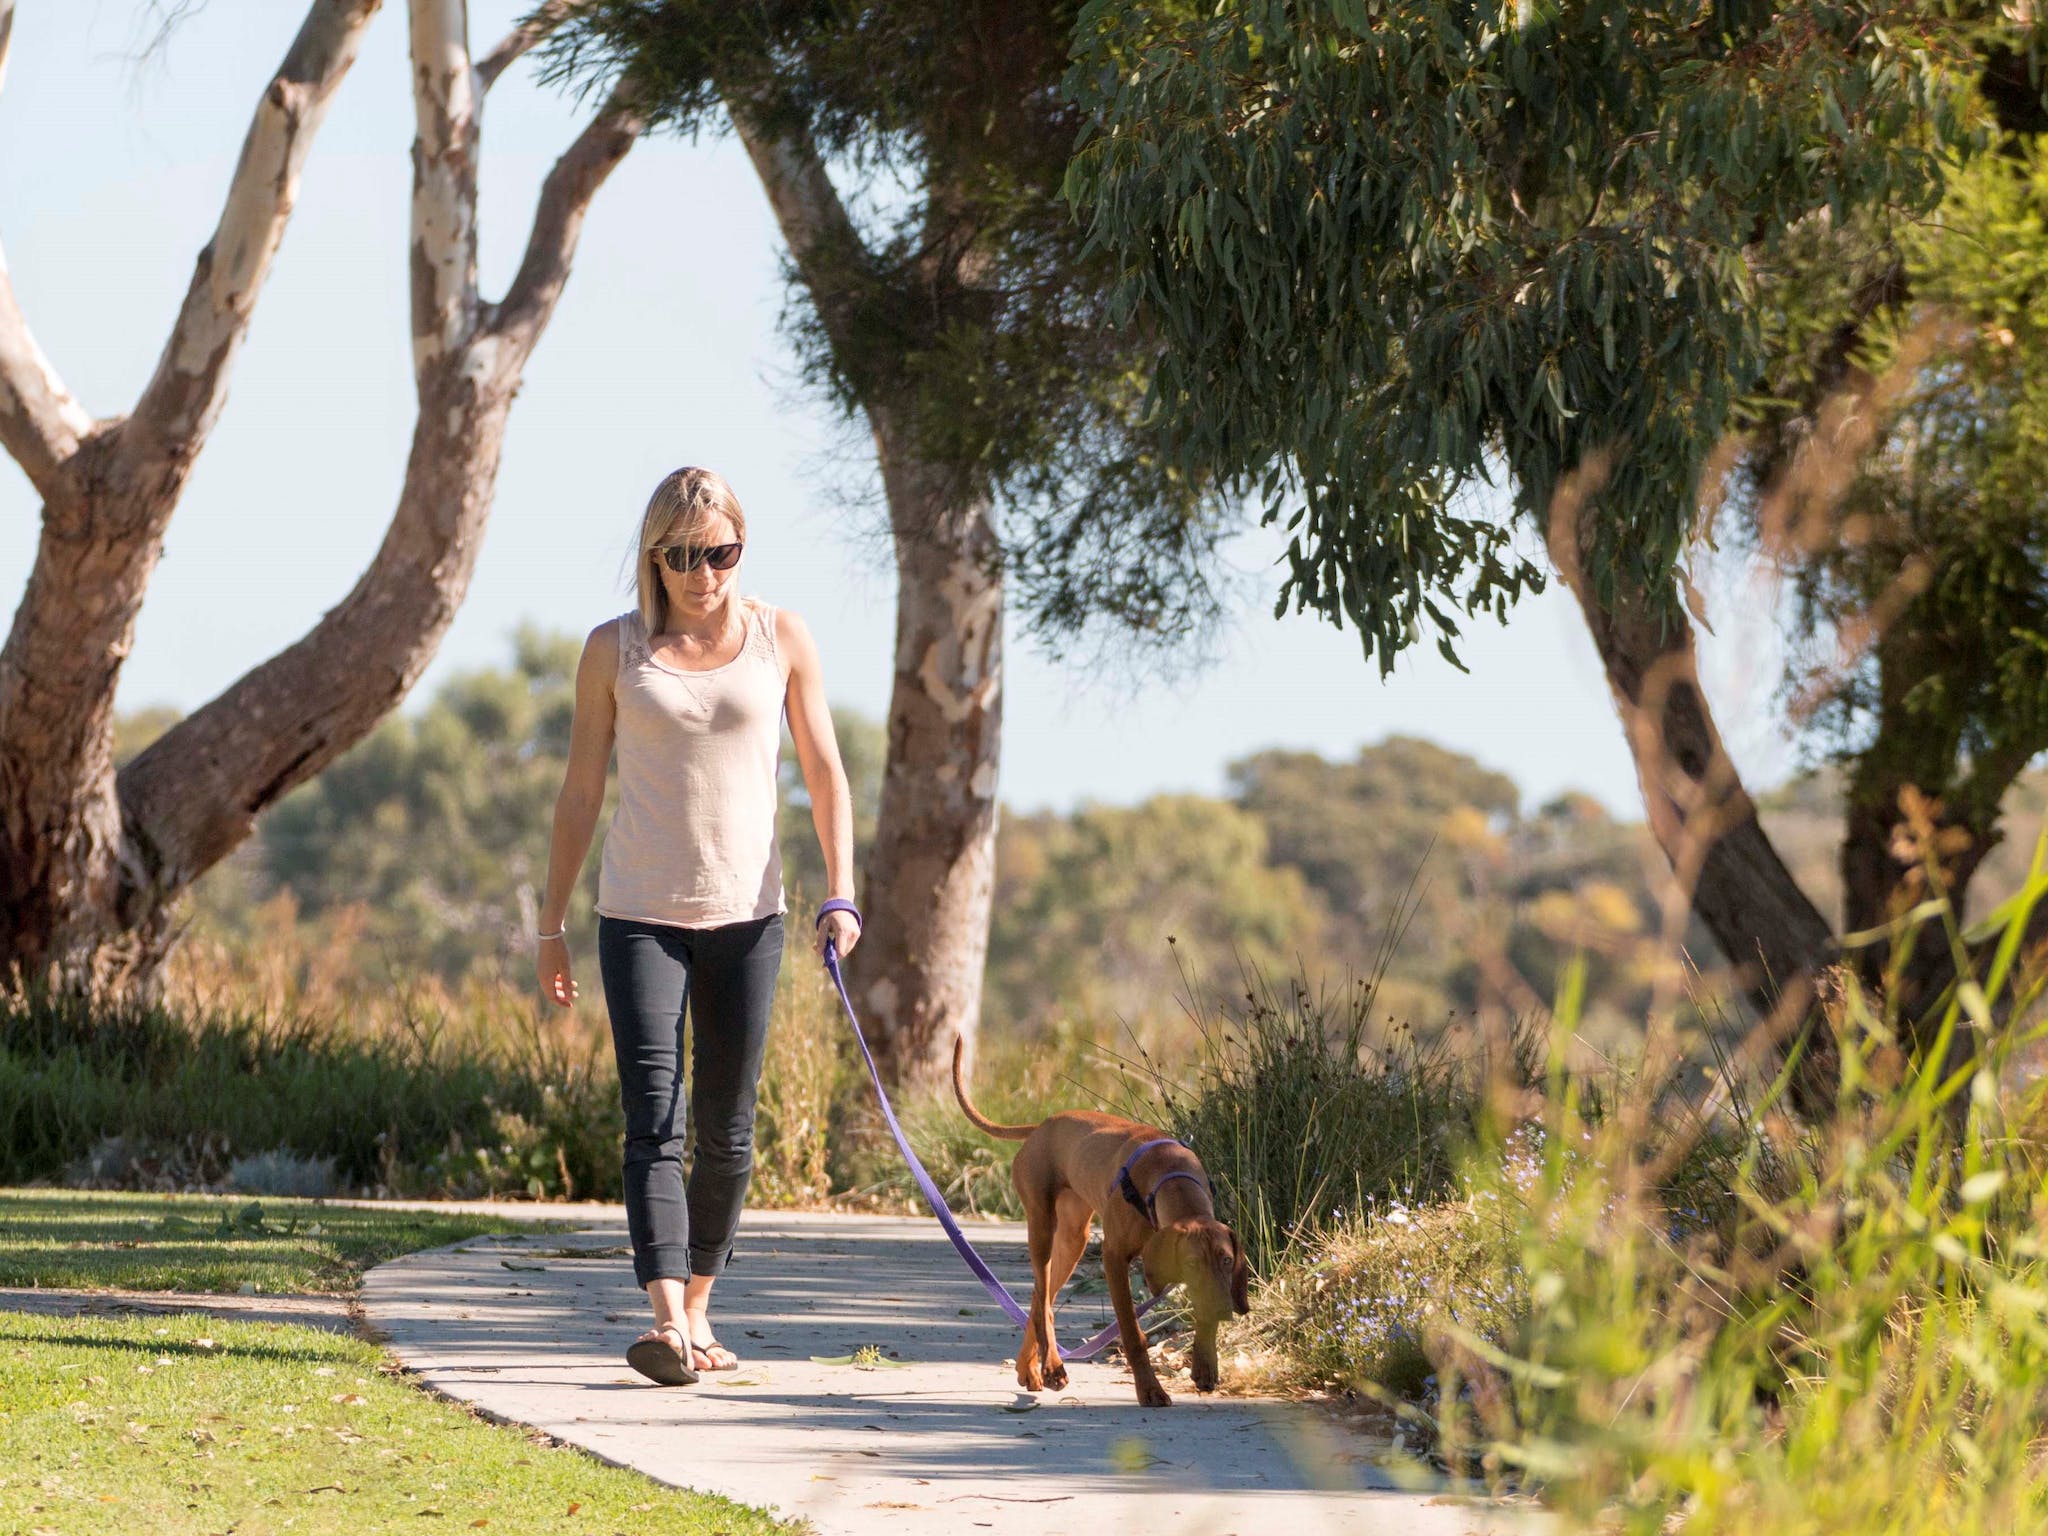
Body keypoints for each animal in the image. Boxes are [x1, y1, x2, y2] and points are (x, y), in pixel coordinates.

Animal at [954, 1036, 1245, 1409]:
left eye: (1226, 1260)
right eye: (1192, 1263)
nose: (1225, 1309)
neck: (1168, 1177)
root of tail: (1042, 1126)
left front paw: (1205, 1365)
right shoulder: (1114, 1258)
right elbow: (1132, 1333)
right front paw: (1150, 1389)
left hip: (1073, 1239)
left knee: (1039, 1298)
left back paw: (1028, 1368)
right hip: (1042, 1225)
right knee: (1044, 1304)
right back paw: (1052, 1367)